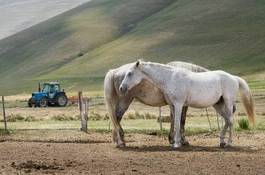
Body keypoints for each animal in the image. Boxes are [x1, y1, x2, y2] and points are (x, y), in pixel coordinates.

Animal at [119, 60, 254, 148]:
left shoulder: (179, 105)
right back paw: (221, 142)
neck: (170, 77)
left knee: (230, 121)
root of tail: (234, 78)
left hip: (228, 103)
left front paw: (177, 144)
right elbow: (175, 123)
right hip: (218, 105)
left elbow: (178, 123)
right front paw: (175, 141)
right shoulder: (172, 106)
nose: (121, 88)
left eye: (130, 73)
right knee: (227, 121)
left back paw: (229, 142)